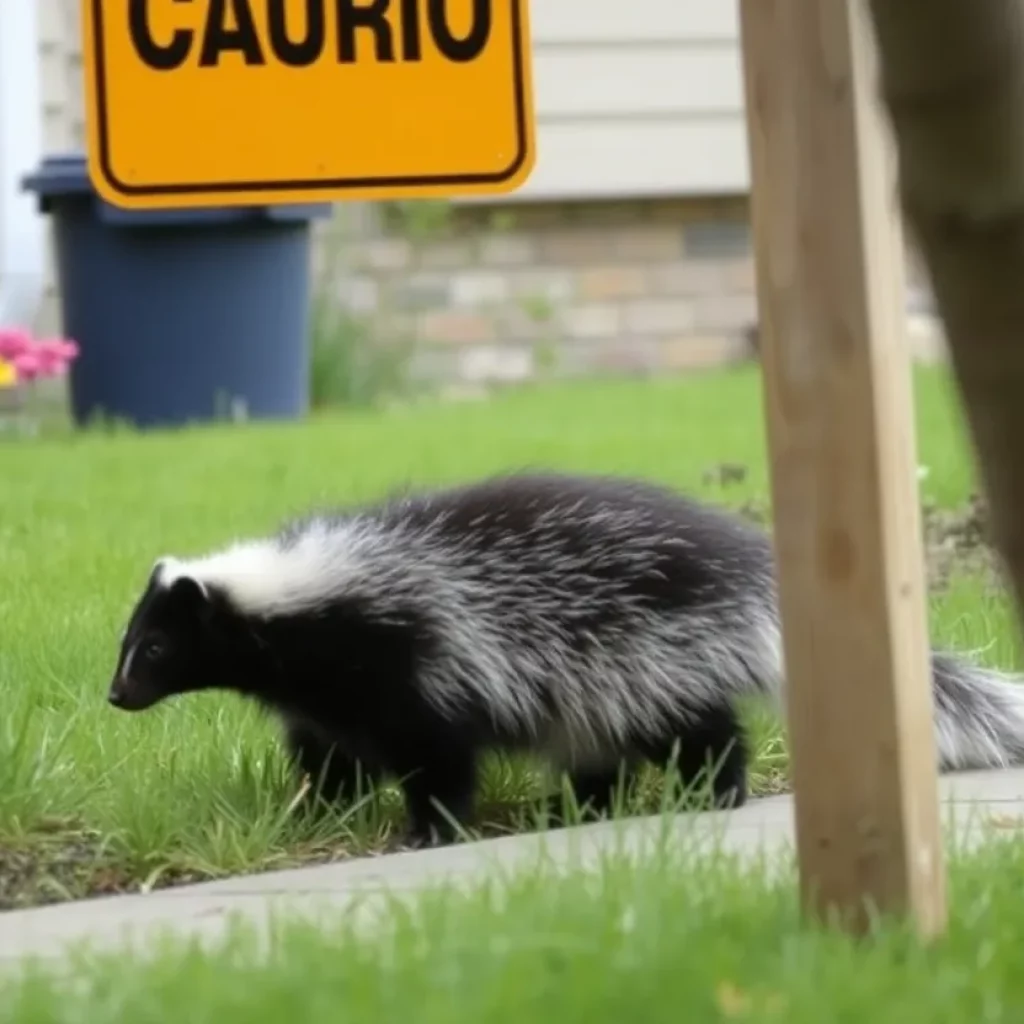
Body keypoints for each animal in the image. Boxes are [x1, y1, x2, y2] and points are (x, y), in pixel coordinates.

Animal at [110, 468, 1024, 843]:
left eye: (156, 645)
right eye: (130, 642)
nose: (116, 697)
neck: (307, 605)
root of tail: (749, 571)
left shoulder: (424, 662)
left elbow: (438, 761)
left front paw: (425, 832)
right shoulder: (327, 701)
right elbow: (330, 758)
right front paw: (312, 812)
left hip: (646, 652)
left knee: (701, 729)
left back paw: (715, 791)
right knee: (600, 752)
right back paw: (574, 809)